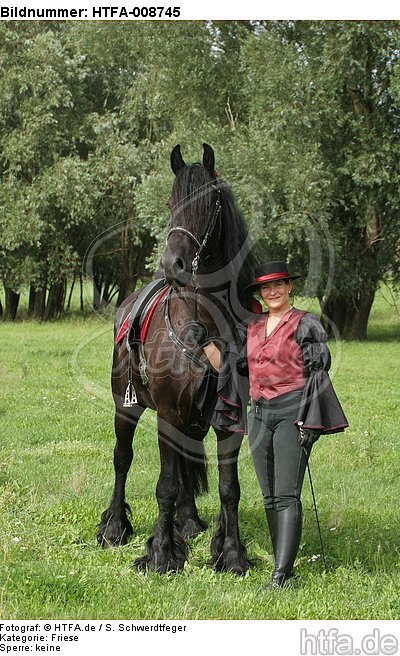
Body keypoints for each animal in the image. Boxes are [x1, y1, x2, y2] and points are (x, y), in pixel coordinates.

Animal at [97, 143, 255, 575]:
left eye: (206, 204)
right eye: (170, 203)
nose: (172, 265)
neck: (205, 322)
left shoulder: (229, 419)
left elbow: (228, 487)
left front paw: (231, 555)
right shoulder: (167, 414)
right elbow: (164, 484)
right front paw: (161, 554)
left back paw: (188, 522)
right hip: (125, 405)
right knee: (122, 459)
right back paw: (114, 527)